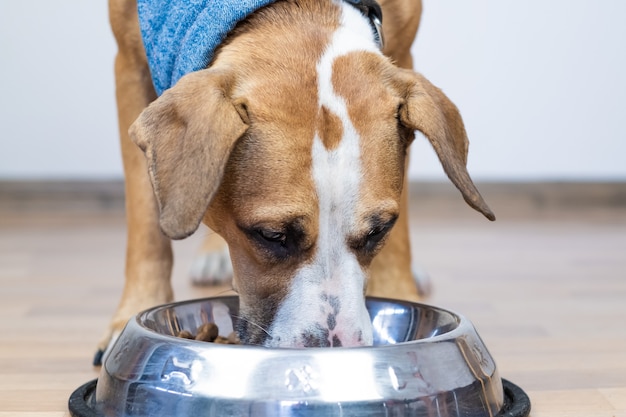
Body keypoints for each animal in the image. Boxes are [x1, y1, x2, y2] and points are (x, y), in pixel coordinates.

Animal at [97, 0, 494, 360]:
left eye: (378, 231)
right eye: (271, 235)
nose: (333, 349)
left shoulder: (402, 54)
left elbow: (400, 238)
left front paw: (401, 290)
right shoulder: (130, 63)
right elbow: (146, 220)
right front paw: (130, 315)